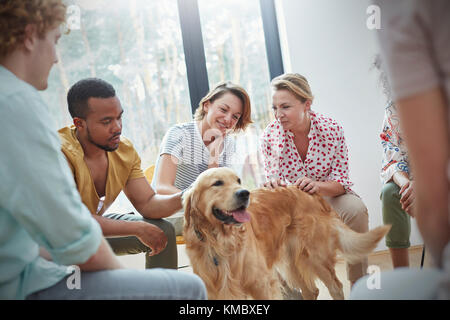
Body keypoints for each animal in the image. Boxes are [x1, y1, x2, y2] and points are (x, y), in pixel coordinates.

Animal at [181, 168, 388, 300]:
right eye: (217, 183)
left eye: (238, 180)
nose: (245, 193)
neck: (221, 241)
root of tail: (308, 190)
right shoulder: (216, 291)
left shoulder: (261, 283)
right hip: (291, 261)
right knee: (311, 291)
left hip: (314, 256)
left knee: (335, 288)